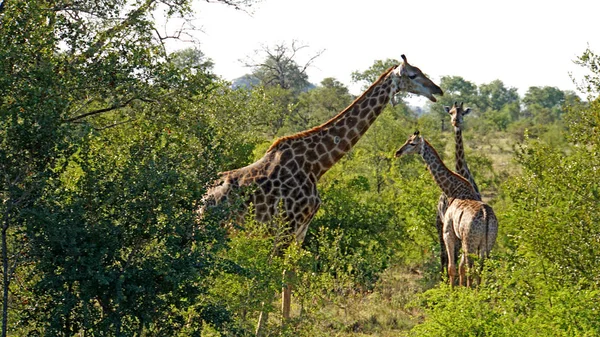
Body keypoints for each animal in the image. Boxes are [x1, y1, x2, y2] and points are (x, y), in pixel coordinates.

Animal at [199, 54, 442, 328]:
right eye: (412, 75)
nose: (437, 90)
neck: (317, 165)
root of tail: (200, 200)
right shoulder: (287, 225)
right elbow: (271, 274)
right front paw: (260, 328)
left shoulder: (301, 229)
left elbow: (288, 275)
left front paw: (284, 325)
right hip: (211, 231)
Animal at [396, 131, 500, 286]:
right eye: (406, 140)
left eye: (412, 143)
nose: (398, 152)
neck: (453, 190)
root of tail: (487, 216)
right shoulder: (459, 237)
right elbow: (460, 267)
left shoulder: (448, 233)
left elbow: (452, 267)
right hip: (488, 243)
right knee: (480, 269)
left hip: (470, 242)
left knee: (470, 268)